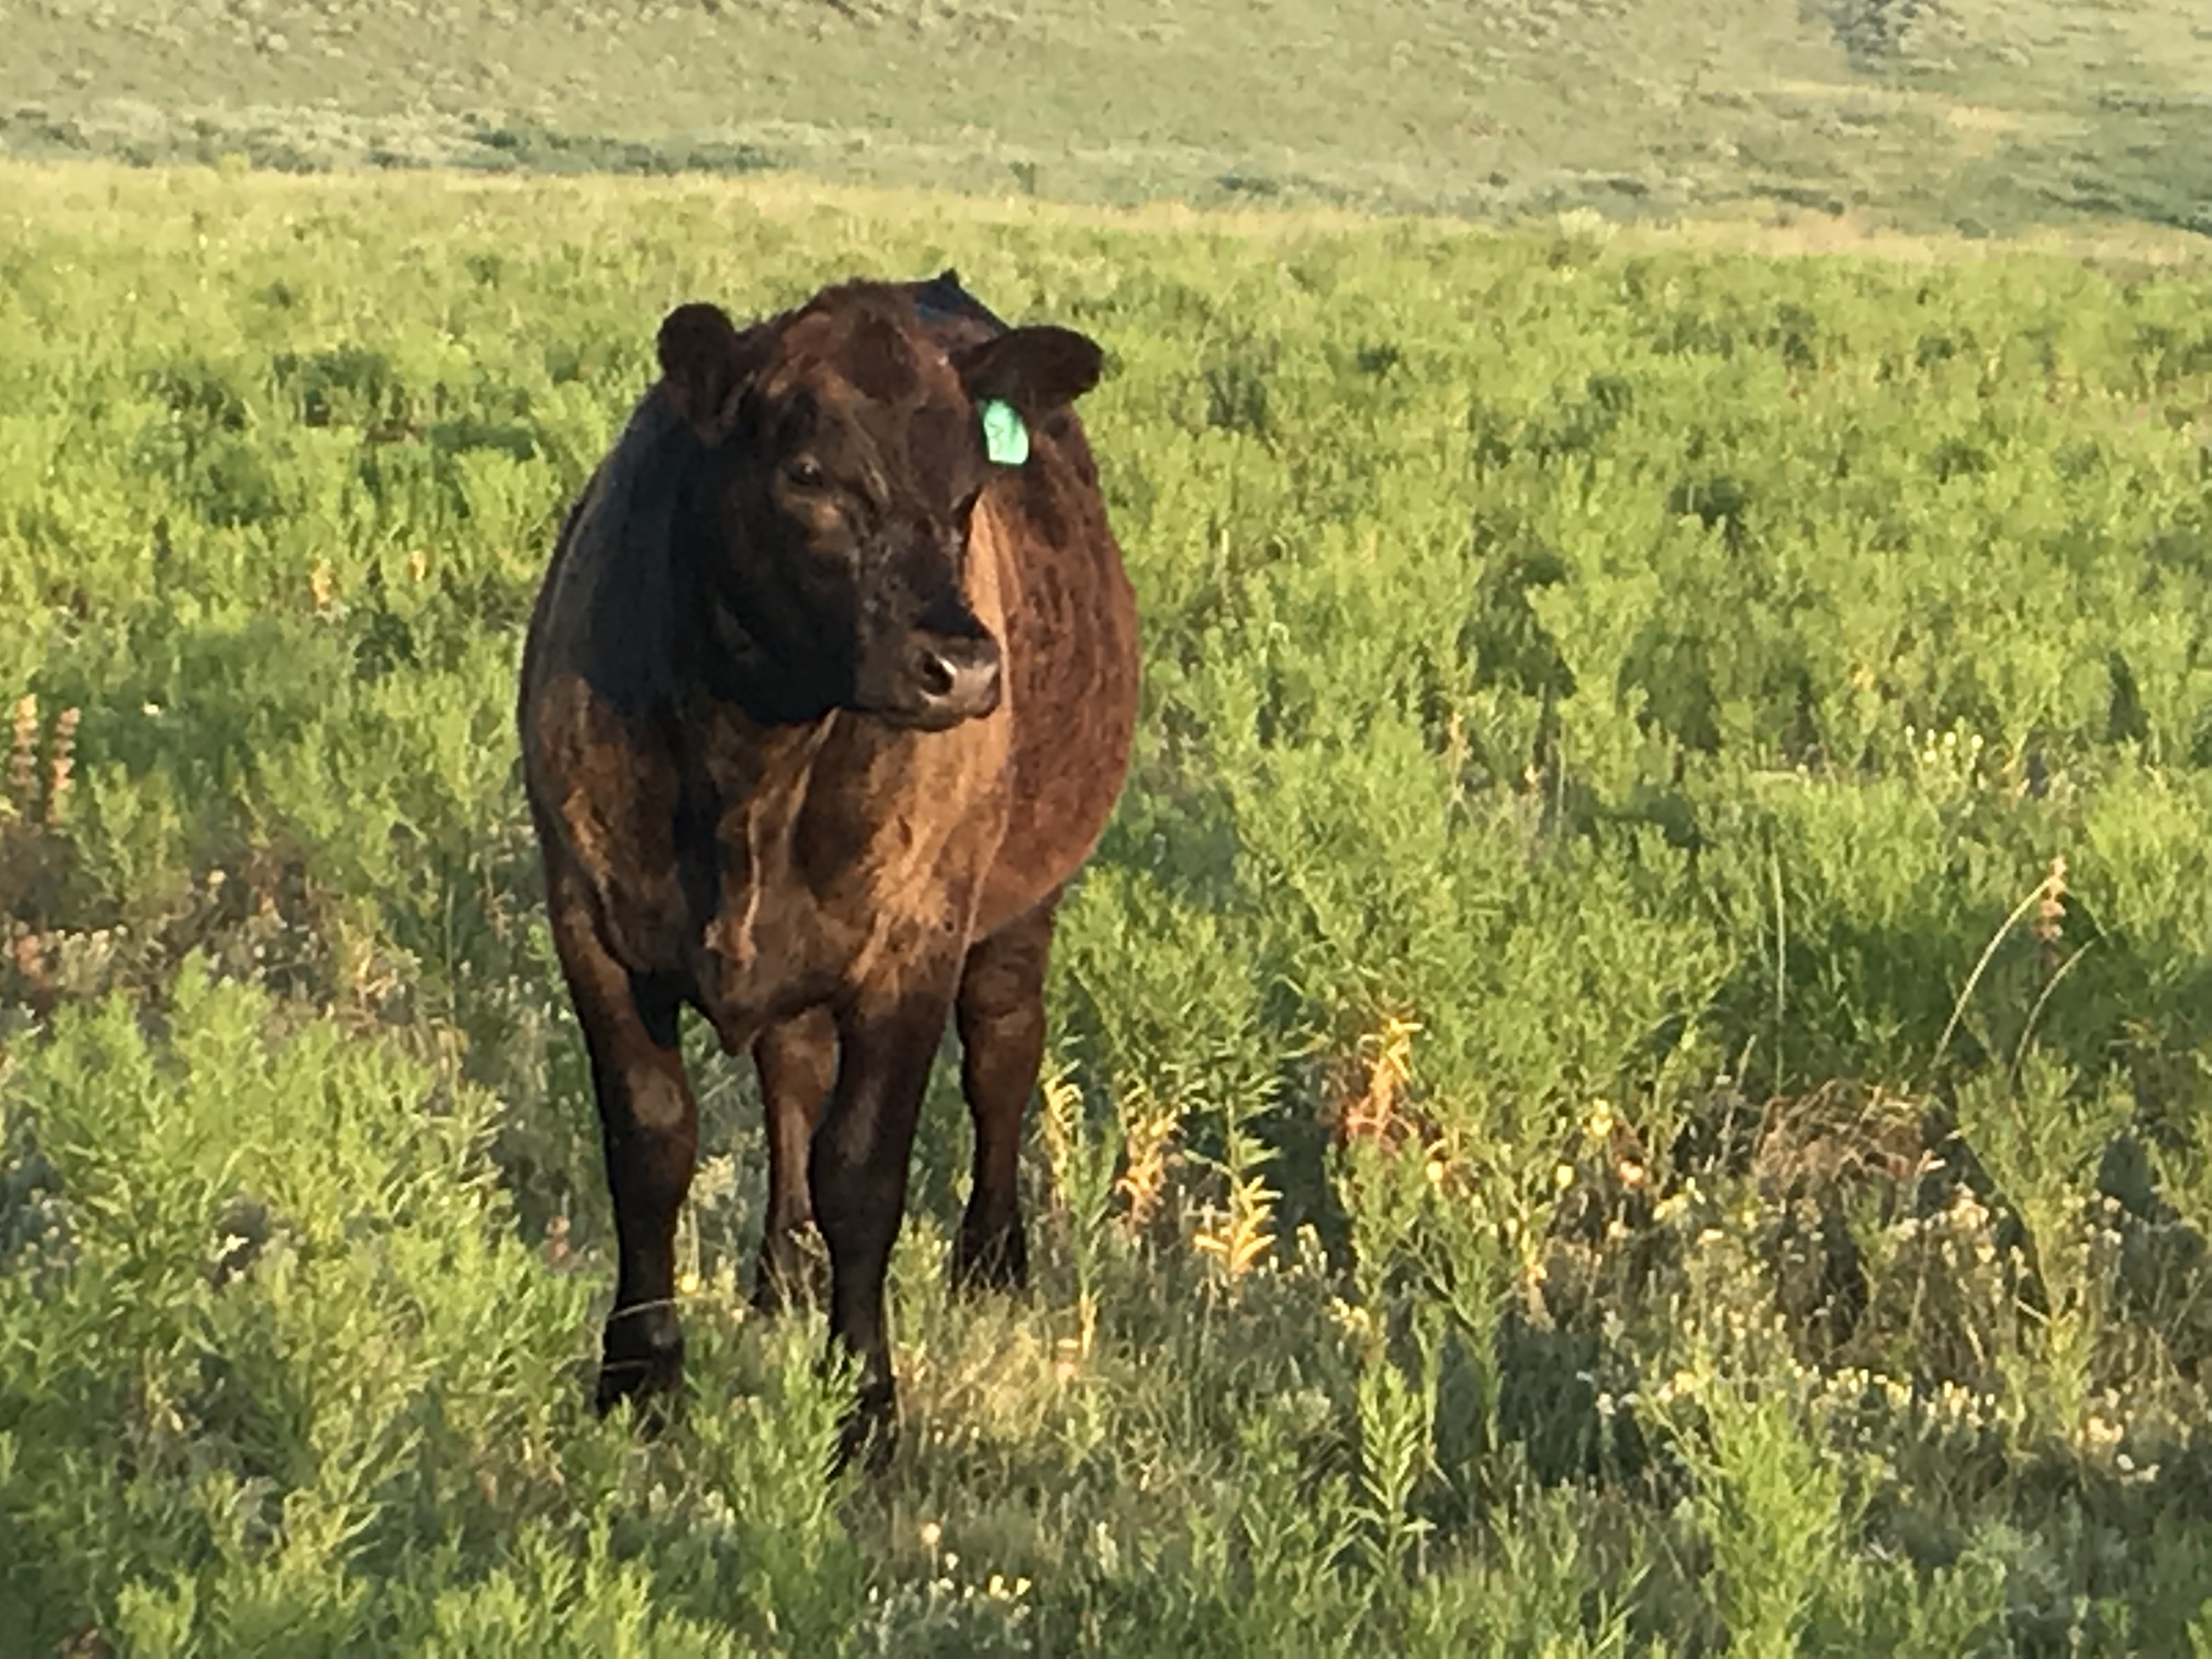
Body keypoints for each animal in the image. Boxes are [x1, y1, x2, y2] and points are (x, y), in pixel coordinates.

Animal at [516, 268, 1139, 1471]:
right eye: (807, 474)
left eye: (967, 488)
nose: (962, 664)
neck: (751, 754)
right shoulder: (590, 924)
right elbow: (651, 1141)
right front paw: (639, 1375)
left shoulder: (912, 946)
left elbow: (865, 1171)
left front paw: (866, 1403)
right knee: (792, 1073)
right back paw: (783, 1268)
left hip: (1018, 907)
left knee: (1002, 1052)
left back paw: (992, 1256)